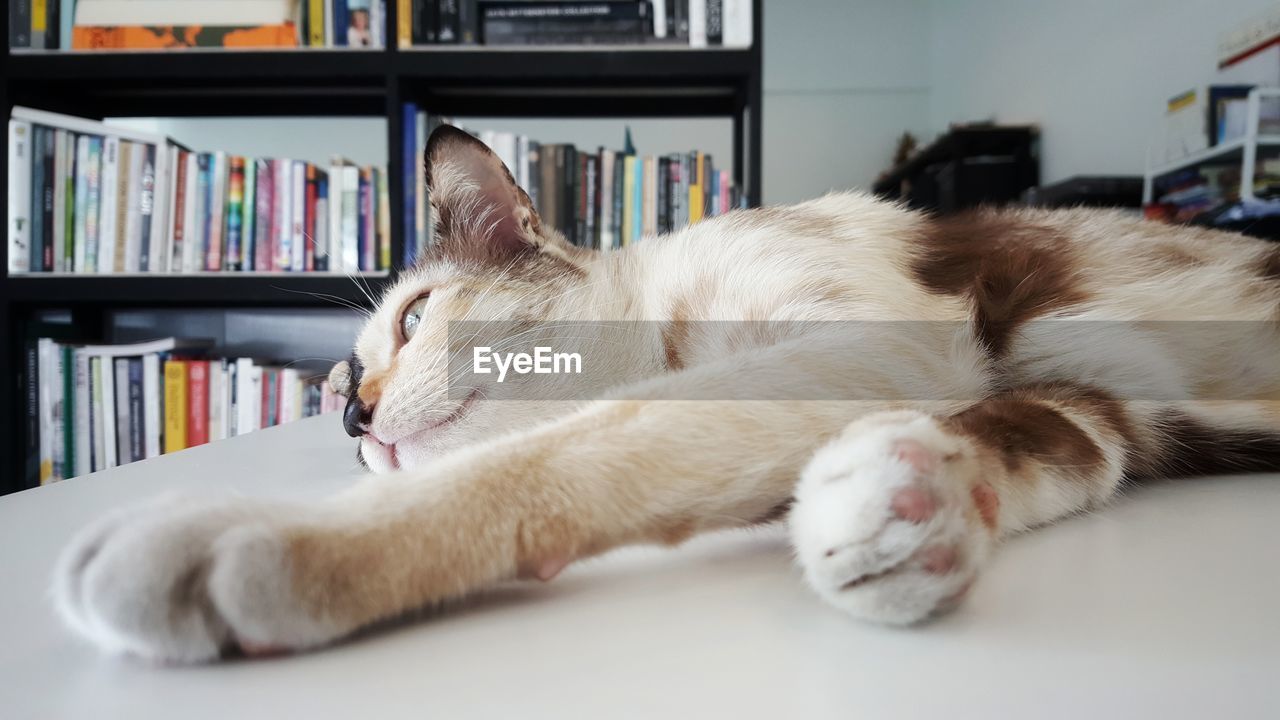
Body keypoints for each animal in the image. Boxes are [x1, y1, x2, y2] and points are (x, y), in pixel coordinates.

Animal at [52, 124, 1280, 661]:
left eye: (410, 321)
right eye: (341, 413)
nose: (354, 418)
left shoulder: (882, 344)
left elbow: (602, 438)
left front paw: (274, 539)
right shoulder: (1093, 413)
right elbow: (1036, 446)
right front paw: (897, 514)